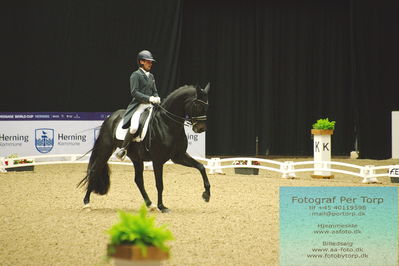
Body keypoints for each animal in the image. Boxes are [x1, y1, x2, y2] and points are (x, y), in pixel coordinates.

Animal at [77, 84, 212, 213]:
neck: (167, 124)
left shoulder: (178, 156)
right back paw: (86, 203)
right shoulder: (158, 160)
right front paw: (162, 207)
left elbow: (201, 167)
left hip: (136, 158)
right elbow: (159, 184)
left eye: (207, 106)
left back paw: (150, 204)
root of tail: (111, 117)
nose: (201, 129)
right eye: (197, 105)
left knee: (138, 180)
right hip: (105, 150)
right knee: (94, 171)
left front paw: (206, 195)